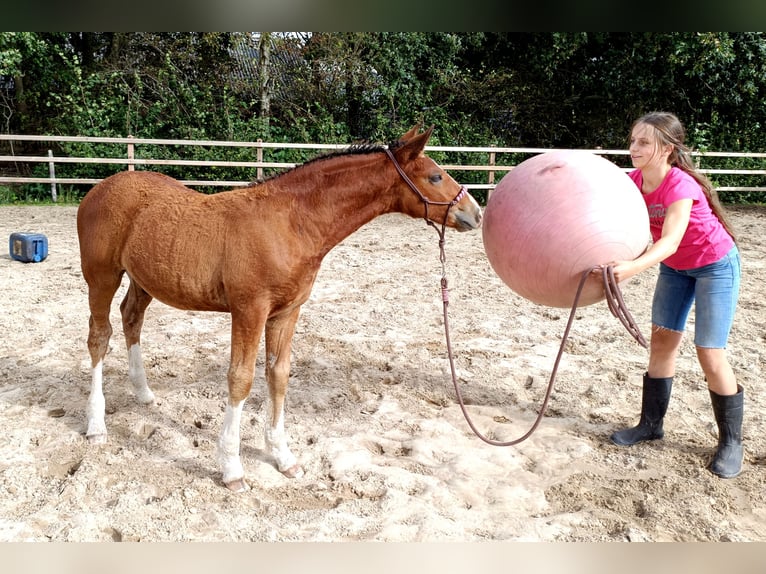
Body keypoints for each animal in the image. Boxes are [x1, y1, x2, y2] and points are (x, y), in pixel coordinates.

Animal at [76, 124, 482, 491]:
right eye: (435, 176)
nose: (475, 213)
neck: (291, 222)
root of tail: (99, 189)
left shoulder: (286, 313)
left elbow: (278, 374)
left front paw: (284, 457)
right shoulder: (249, 310)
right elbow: (240, 379)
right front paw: (232, 469)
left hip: (143, 279)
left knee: (131, 318)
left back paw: (143, 394)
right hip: (101, 277)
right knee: (99, 337)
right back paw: (96, 425)